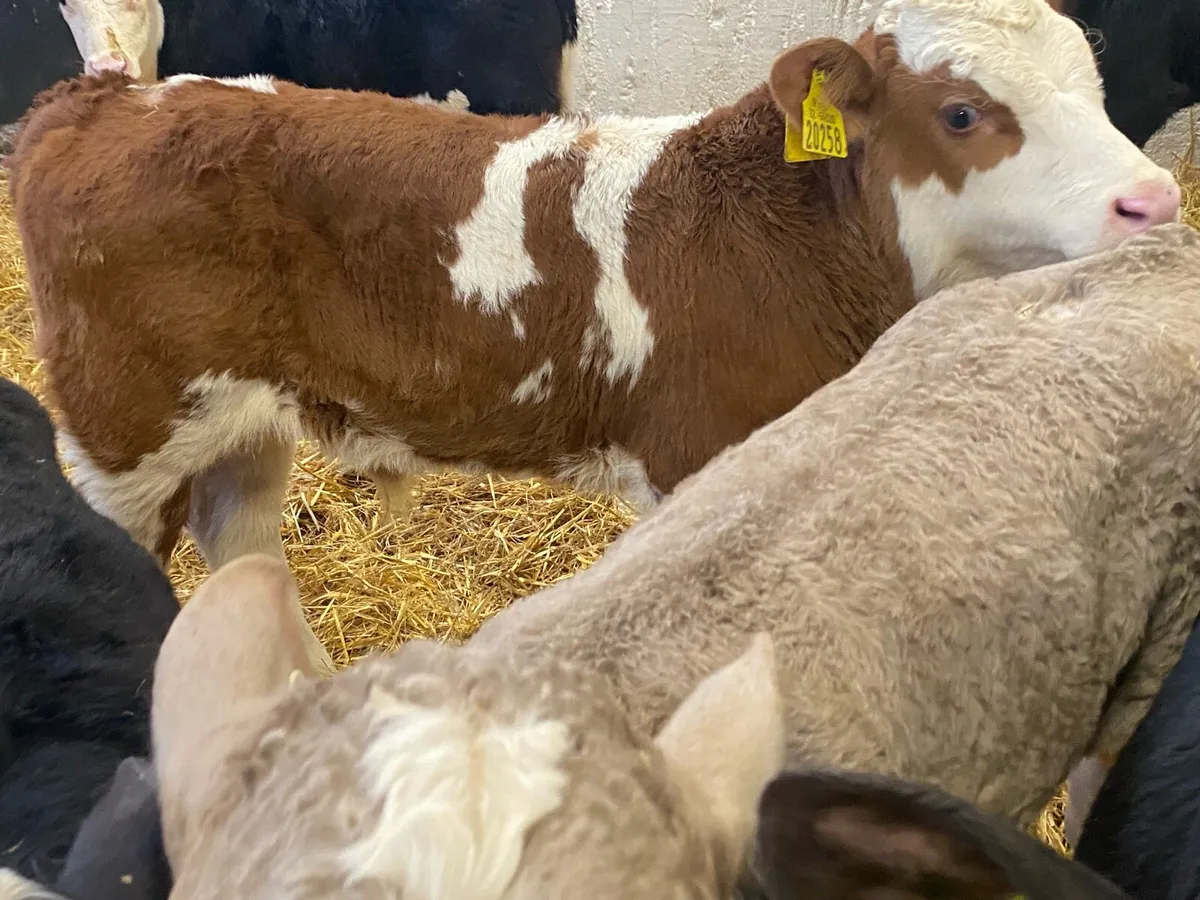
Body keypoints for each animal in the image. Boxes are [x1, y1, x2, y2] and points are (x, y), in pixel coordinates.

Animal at [6, 0, 1182, 583]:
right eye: (961, 113)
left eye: (1093, 85)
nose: (1155, 200)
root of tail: (108, 100)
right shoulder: (697, 462)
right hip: (120, 438)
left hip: (240, 429)